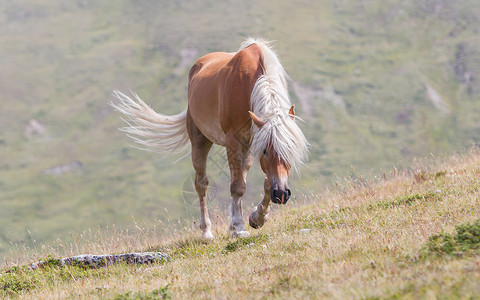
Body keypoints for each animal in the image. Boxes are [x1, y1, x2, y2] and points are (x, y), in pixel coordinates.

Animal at [112, 38, 308, 239]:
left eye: (291, 149)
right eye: (266, 150)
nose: (282, 194)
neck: (250, 83)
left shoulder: (252, 140)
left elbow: (266, 181)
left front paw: (257, 218)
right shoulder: (234, 141)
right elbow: (237, 186)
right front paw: (239, 227)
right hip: (200, 141)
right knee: (201, 184)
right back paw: (206, 231)